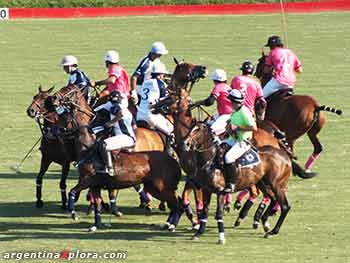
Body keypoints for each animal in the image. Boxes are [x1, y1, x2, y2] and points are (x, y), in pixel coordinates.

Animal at [44, 85, 183, 232]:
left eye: (63, 116)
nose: (48, 131)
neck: (88, 148)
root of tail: (174, 162)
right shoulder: (94, 185)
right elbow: (97, 203)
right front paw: (96, 223)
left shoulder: (87, 180)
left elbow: (73, 192)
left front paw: (74, 213)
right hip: (156, 187)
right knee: (176, 203)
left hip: (160, 187)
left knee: (177, 203)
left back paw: (168, 220)